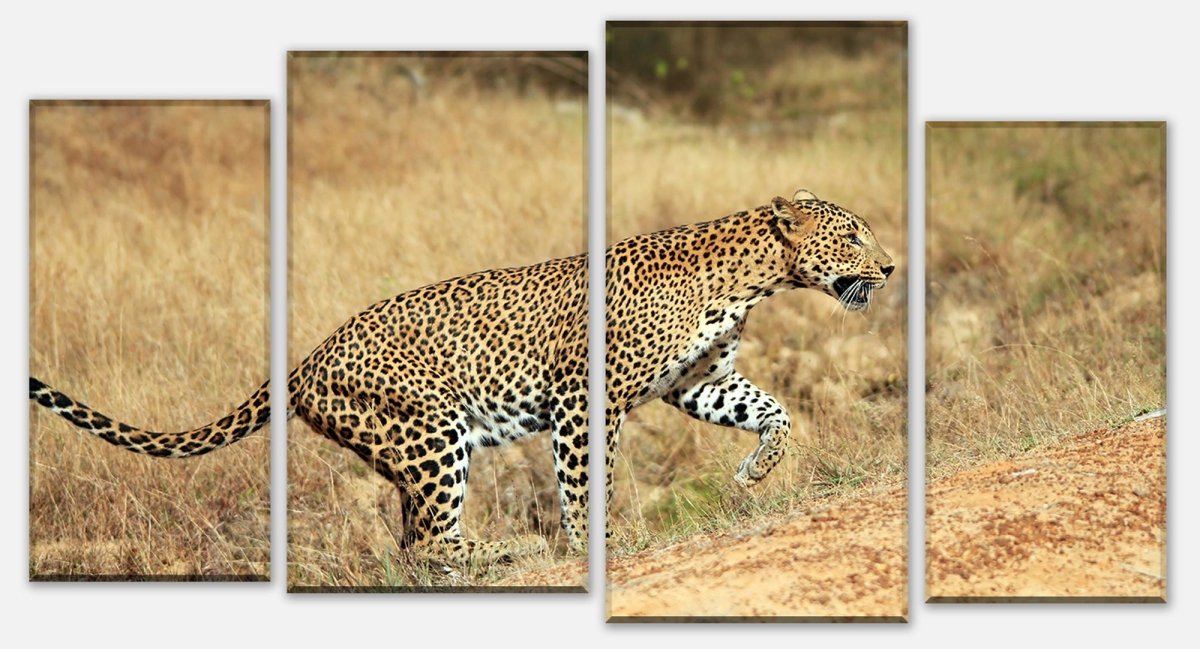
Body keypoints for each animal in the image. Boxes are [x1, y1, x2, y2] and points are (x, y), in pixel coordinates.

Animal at [603, 189, 894, 523]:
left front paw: (756, 466)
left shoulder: (700, 381)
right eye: (852, 239)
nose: (890, 268)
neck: (736, 289)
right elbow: (585, 487)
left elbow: (776, 411)